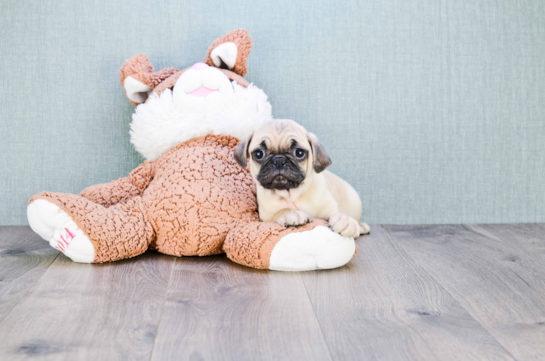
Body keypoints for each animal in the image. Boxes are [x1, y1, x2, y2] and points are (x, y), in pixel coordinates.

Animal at [234, 119, 370, 239]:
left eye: (299, 153)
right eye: (258, 154)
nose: (279, 160)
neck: (291, 194)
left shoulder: (329, 210)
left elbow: (338, 213)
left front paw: (346, 220)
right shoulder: (265, 218)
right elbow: (281, 210)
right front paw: (291, 213)